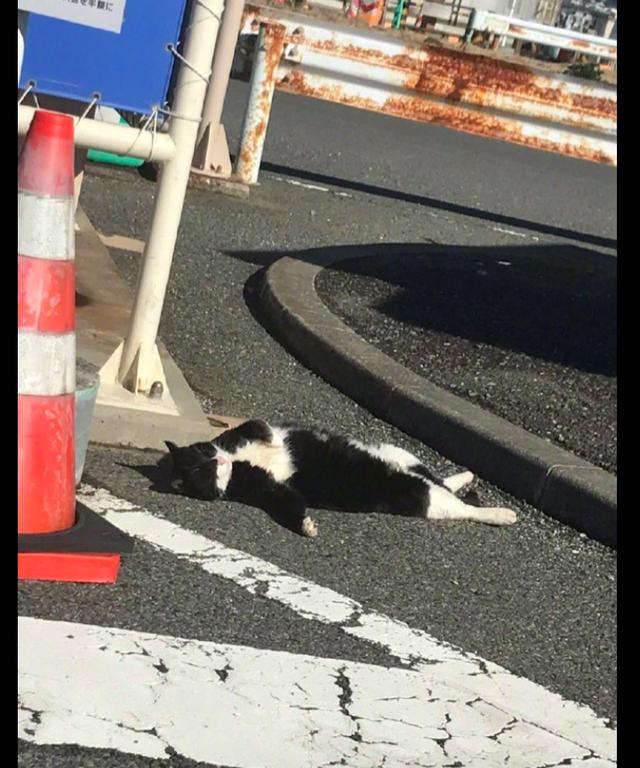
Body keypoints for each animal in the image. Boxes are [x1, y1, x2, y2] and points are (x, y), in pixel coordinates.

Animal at [164, 416, 516, 536]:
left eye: (204, 457)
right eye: (203, 472)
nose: (220, 461)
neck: (239, 463)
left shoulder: (244, 431)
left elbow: (258, 426)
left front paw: (270, 440)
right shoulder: (269, 489)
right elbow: (290, 504)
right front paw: (306, 527)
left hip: (402, 452)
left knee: (440, 478)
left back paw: (467, 477)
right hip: (423, 498)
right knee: (462, 506)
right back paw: (502, 514)